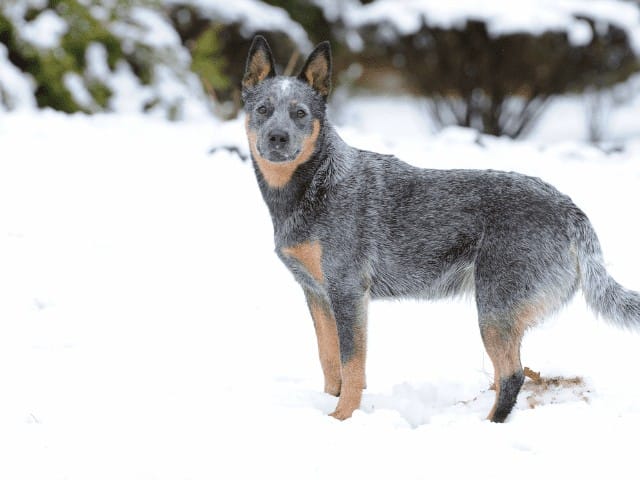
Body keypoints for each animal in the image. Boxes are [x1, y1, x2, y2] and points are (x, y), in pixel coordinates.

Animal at [241, 35, 640, 422]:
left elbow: (352, 366)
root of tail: (570, 209)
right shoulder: (316, 294)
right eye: (263, 110)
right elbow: (329, 361)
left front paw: (342, 419)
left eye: (300, 113)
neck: (315, 184)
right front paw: (328, 406)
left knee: (513, 375)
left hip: (493, 308)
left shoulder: (349, 292)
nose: (277, 137)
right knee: (507, 375)